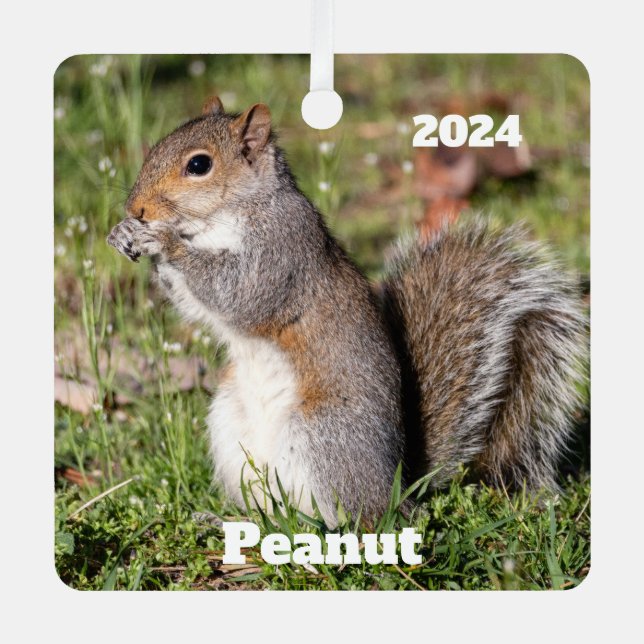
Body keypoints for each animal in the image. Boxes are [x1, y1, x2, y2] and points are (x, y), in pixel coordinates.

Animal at [107, 96, 587, 525]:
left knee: (351, 518)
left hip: (323, 436)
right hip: (231, 427)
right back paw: (226, 520)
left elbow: (238, 292)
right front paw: (125, 234)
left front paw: (162, 240)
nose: (136, 208)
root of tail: (397, 486)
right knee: (271, 512)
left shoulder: (282, 248)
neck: (222, 219)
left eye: (199, 165)